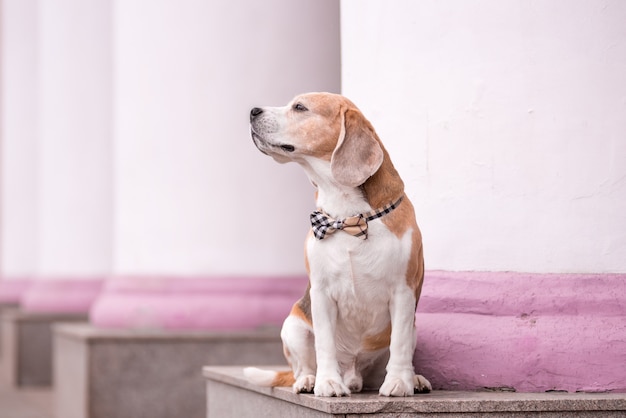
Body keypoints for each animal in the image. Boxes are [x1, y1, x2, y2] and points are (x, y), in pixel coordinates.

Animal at [243, 93, 428, 396]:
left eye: (300, 107)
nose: (252, 111)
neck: (347, 217)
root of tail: (354, 374)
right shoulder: (321, 293)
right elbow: (325, 344)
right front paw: (328, 382)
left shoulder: (403, 292)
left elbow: (399, 345)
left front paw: (400, 382)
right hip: (293, 326)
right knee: (303, 366)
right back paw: (309, 380)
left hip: (414, 329)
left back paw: (415, 379)